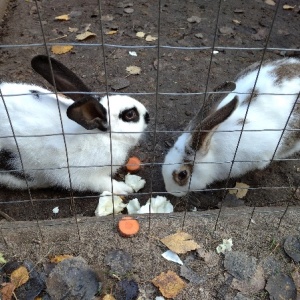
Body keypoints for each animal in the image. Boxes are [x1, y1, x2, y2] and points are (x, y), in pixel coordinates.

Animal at [0, 54, 150, 193]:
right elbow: (103, 183)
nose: (148, 116)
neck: (103, 137)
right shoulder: (82, 176)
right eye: (130, 115)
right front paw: (124, 189)